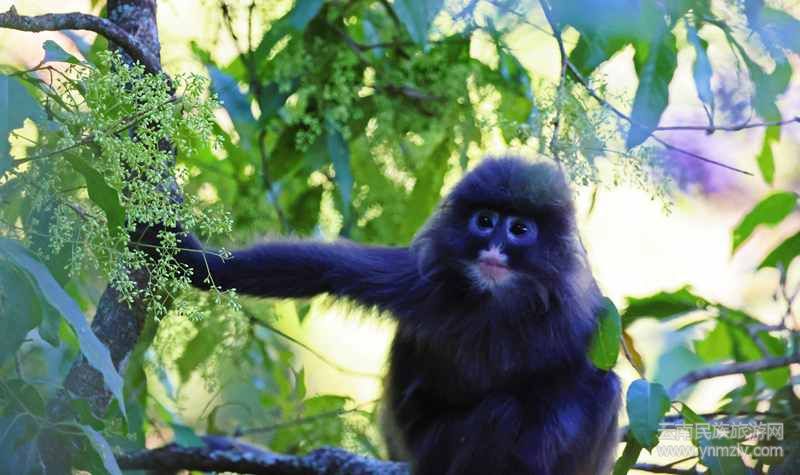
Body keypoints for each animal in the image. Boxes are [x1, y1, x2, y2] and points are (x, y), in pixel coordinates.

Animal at [138, 157, 621, 475]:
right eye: (485, 221)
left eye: (520, 229)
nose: (495, 249)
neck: (494, 299)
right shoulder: (422, 280)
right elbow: (319, 268)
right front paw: (192, 256)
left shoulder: (575, 313)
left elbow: (579, 379)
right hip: (432, 450)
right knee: (504, 411)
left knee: (601, 387)